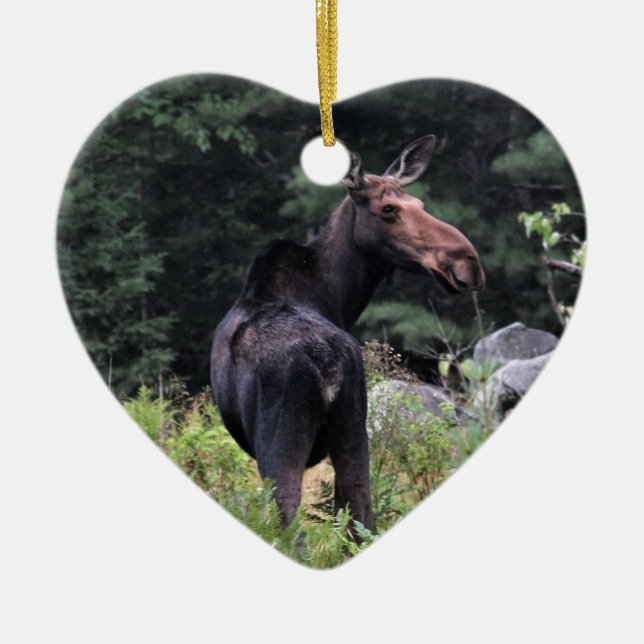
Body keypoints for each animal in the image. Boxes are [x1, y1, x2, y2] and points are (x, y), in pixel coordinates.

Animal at [210, 135, 485, 531]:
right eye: (388, 208)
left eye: (419, 203)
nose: (468, 263)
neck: (337, 296)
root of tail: (325, 364)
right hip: (353, 429)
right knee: (361, 518)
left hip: (280, 439)